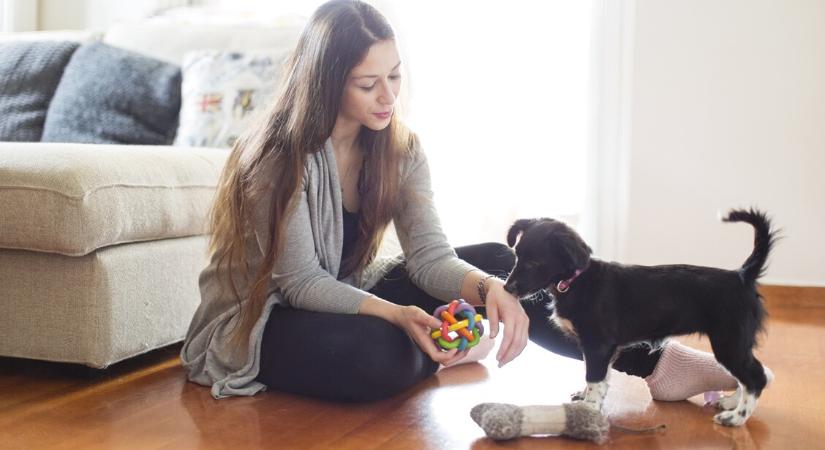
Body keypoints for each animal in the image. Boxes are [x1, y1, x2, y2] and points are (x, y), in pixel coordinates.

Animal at [502, 209, 780, 428]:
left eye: (534, 262)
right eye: (516, 255)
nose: (507, 288)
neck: (576, 281)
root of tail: (742, 275)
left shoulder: (598, 345)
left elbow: (594, 377)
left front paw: (588, 409)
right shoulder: (602, 348)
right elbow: (599, 378)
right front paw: (587, 399)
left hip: (728, 341)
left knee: (756, 376)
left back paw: (736, 418)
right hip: (734, 344)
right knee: (750, 374)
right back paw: (731, 403)